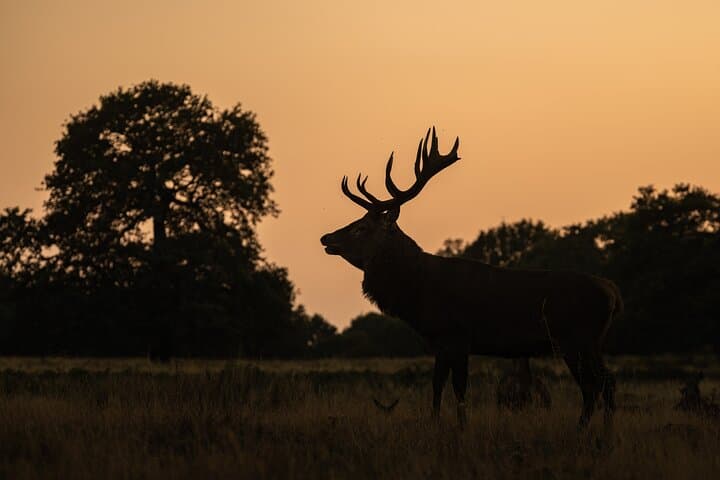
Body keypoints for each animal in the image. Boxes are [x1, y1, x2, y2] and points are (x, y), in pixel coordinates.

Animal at [320, 127, 623, 428]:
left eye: (361, 227)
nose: (326, 238)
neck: (419, 292)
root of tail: (612, 292)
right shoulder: (441, 343)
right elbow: (436, 388)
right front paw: (435, 425)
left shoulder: (458, 335)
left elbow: (459, 389)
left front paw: (461, 428)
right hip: (588, 342)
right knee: (602, 384)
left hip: (577, 339)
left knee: (598, 385)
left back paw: (588, 432)